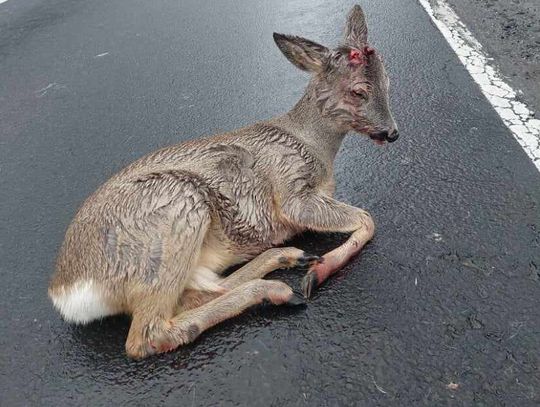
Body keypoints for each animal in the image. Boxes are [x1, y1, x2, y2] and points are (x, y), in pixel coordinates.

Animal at [48, 4, 398, 358]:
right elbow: (367, 219)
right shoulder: (292, 190)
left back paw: (287, 258)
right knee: (148, 335)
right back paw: (278, 289)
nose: (392, 132)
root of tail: (65, 293)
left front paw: (313, 266)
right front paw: (319, 272)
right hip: (174, 212)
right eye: (359, 91)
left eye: (388, 81)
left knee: (201, 293)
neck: (311, 143)